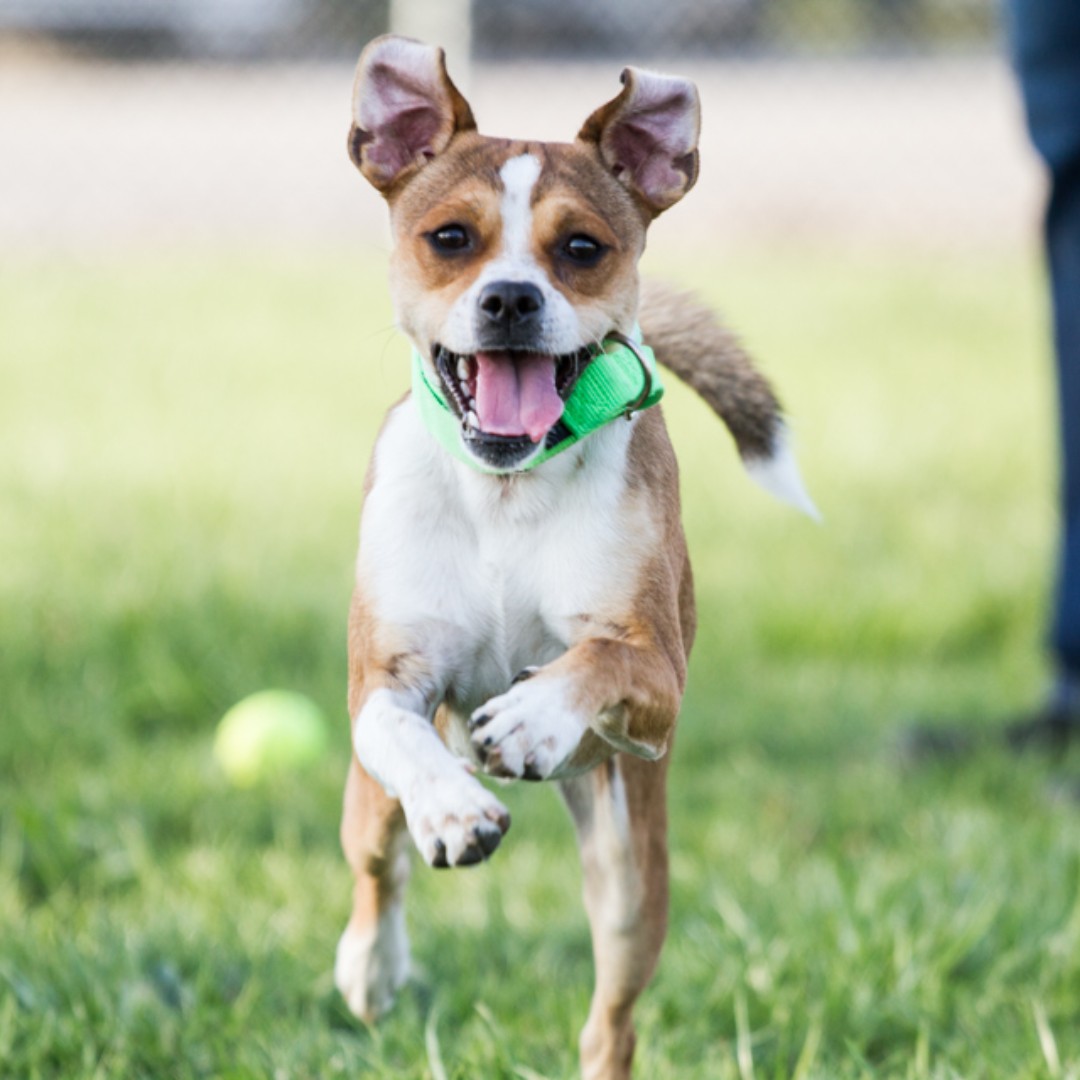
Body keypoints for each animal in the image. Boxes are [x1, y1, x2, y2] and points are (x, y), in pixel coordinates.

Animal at [332, 33, 812, 1080]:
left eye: (582, 248)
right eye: (451, 239)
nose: (512, 298)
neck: (505, 494)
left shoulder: (658, 671)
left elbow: (599, 660)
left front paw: (534, 717)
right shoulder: (385, 682)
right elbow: (399, 737)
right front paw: (455, 809)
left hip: (632, 871)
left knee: (611, 1020)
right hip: (367, 806)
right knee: (378, 863)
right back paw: (373, 968)